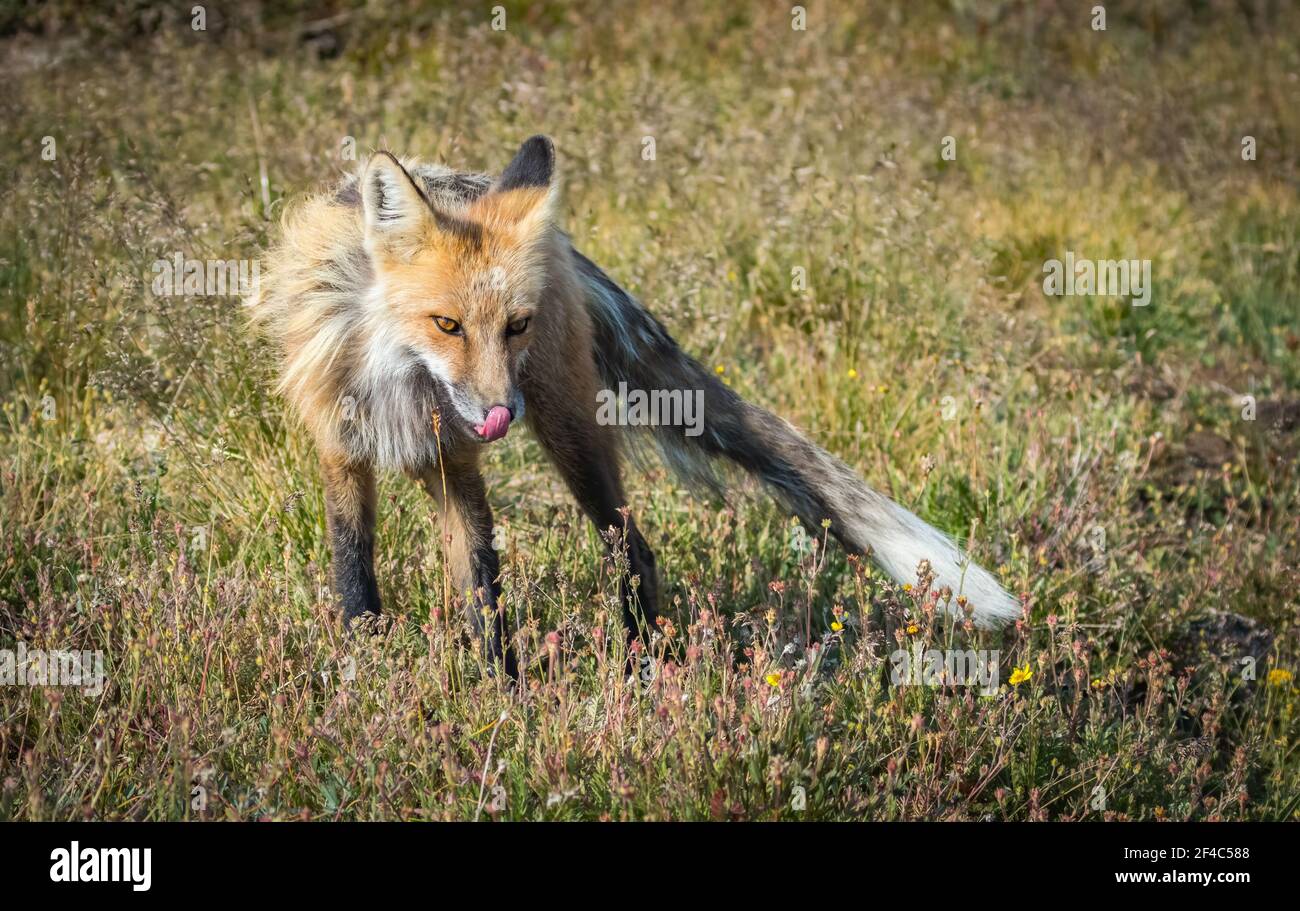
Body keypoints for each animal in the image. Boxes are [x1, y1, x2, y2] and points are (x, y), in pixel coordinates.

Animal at [250, 137, 1024, 675]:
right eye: (448, 325)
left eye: (515, 326)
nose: (502, 412)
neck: (399, 382)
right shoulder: (344, 448)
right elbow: (357, 578)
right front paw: (369, 674)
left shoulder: (457, 461)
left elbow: (485, 598)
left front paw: (504, 700)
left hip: (572, 437)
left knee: (637, 553)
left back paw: (645, 669)